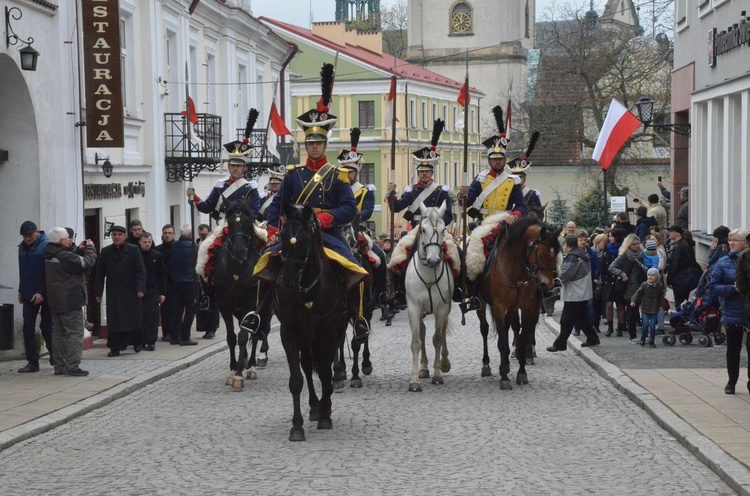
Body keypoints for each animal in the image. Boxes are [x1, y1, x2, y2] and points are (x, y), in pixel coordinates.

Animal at [210, 201, 268, 388]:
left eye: (248, 222)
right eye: (229, 223)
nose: (238, 251)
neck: (236, 269)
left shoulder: (250, 302)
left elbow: (243, 336)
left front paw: (238, 375)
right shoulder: (224, 305)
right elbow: (231, 337)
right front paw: (233, 368)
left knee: (256, 334)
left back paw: (251, 366)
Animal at [274, 202, 352, 442]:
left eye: (306, 238)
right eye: (282, 235)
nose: (287, 280)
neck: (307, 290)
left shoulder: (328, 334)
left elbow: (326, 373)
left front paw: (326, 415)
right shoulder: (289, 334)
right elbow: (296, 380)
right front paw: (296, 427)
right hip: (307, 339)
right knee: (308, 368)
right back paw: (314, 406)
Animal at [402, 202, 456, 392]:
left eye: (442, 229)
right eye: (423, 229)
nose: (433, 260)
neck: (429, 276)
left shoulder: (442, 308)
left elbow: (438, 339)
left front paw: (438, 374)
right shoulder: (413, 307)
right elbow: (416, 341)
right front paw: (414, 381)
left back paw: (444, 363)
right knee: (423, 332)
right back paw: (423, 368)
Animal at [476, 217, 560, 392]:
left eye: (556, 254)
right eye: (541, 254)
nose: (547, 284)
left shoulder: (527, 306)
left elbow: (523, 336)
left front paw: (521, 372)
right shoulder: (499, 307)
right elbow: (502, 341)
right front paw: (504, 376)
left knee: (509, 328)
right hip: (481, 303)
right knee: (485, 329)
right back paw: (486, 364)